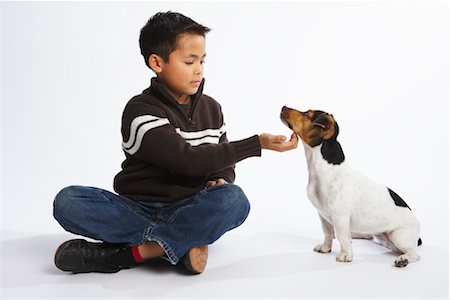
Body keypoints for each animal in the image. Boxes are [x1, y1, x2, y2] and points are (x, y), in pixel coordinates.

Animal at [282, 106, 422, 268]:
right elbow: (327, 233)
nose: (283, 107)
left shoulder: (340, 217)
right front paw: (325, 248)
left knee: (413, 253)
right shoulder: (322, 215)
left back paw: (403, 259)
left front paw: (346, 255)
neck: (322, 168)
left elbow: (342, 237)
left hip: (398, 236)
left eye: (307, 114)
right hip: (383, 238)